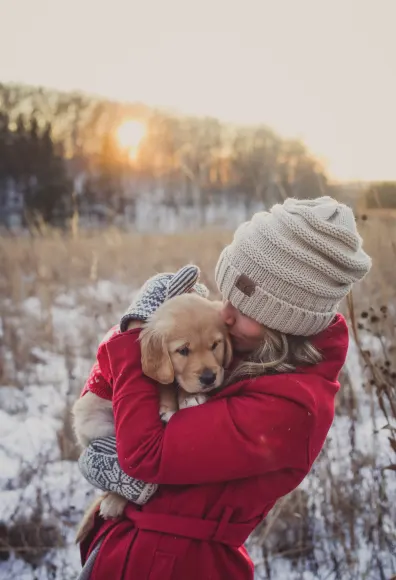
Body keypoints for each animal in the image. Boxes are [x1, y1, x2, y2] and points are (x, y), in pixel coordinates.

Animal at [72, 294, 230, 544]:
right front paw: (170, 405)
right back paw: (114, 500)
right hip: (92, 420)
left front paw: (189, 397)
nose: (208, 378)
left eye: (215, 345)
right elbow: (163, 381)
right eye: (183, 350)